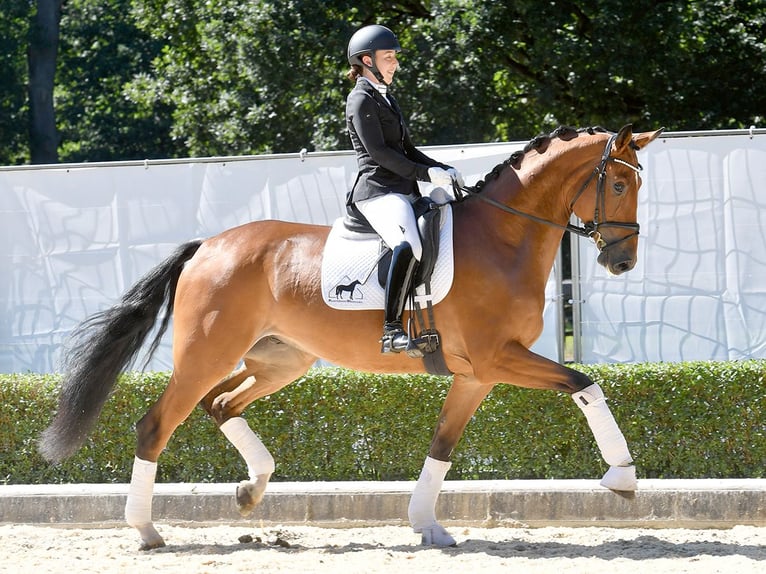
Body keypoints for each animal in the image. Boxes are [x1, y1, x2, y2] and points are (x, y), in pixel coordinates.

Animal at [39, 125, 664, 548]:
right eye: (616, 182)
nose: (623, 261)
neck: (502, 237)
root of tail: (208, 246)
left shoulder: (476, 373)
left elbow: (443, 444)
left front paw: (426, 524)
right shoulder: (497, 359)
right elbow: (584, 383)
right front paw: (622, 477)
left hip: (278, 361)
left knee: (222, 404)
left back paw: (251, 489)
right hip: (206, 355)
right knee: (157, 424)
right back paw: (146, 529)